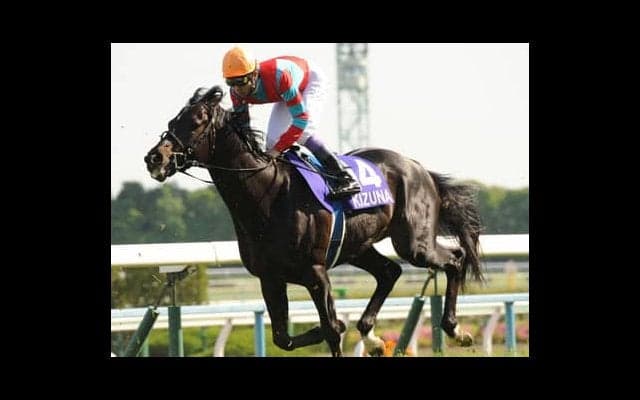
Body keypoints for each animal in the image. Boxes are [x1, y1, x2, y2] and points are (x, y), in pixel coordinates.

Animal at [143, 86, 484, 357]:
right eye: (173, 122)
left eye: (196, 122)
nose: (154, 158)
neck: (268, 197)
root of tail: (419, 168)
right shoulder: (270, 277)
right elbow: (283, 337)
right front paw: (336, 328)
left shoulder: (316, 272)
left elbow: (331, 328)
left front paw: (336, 326)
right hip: (358, 246)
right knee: (390, 271)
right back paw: (372, 337)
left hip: (414, 243)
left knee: (454, 259)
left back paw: (455, 330)